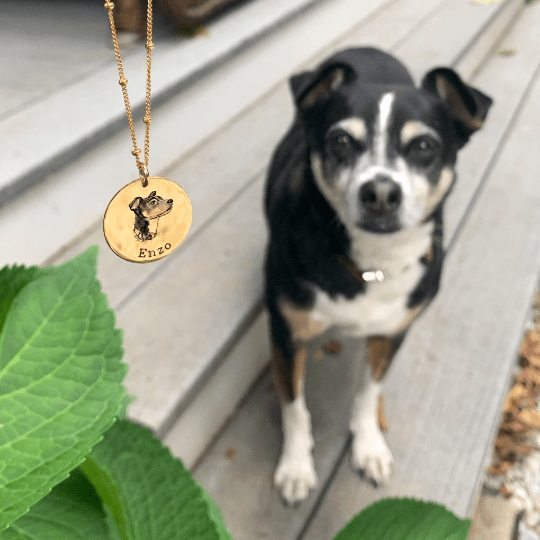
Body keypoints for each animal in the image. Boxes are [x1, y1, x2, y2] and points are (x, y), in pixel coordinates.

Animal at [264, 45, 492, 502]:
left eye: (424, 146)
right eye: (340, 141)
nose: (382, 193)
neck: (370, 265)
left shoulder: (391, 334)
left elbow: (368, 393)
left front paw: (369, 446)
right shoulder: (287, 338)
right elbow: (294, 406)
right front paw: (296, 466)